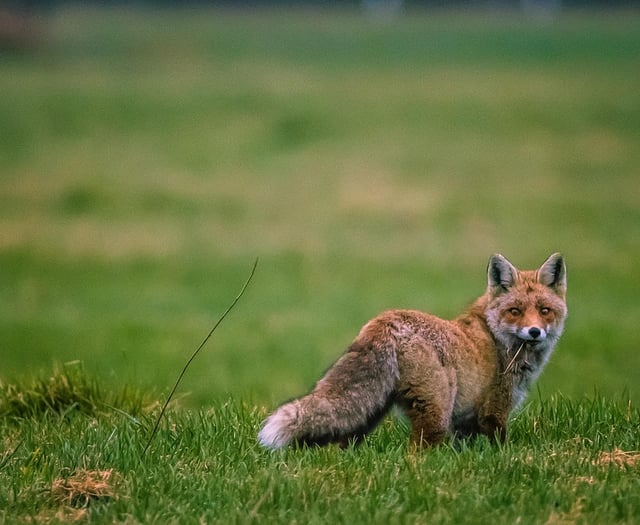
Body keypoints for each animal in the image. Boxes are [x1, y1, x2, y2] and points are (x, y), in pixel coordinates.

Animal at [258, 253, 567, 449]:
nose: (535, 332)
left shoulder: (465, 423)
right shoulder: (494, 410)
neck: (496, 337)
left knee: (343, 442)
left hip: (368, 413)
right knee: (416, 453)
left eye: (544, 311)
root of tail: (385, 321)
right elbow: (499, 448)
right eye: (515, 311)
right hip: (436, 414)